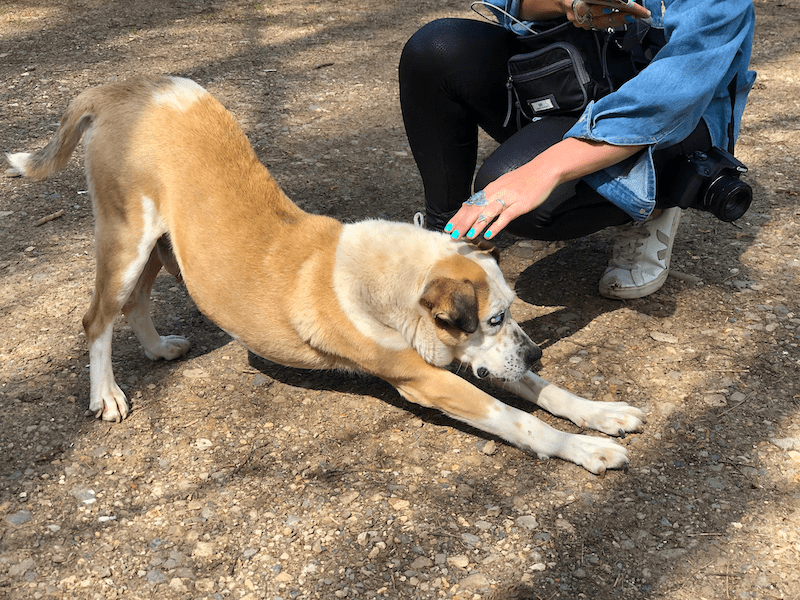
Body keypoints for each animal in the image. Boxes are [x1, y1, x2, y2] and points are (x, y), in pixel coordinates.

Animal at [6, 75, 644, 474]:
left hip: (161, 246)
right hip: (125, 239)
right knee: (96, 318)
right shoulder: (428, 379)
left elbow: (543, 392)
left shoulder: (478, 362)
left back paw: (158, 348)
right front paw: (585, 449)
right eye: (493, 318)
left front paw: (600, 413)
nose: (537, 352)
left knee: (135, 303)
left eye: (512, 313)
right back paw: (107, 396)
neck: (390, 281)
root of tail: (125, 88)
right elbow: (518, 419)